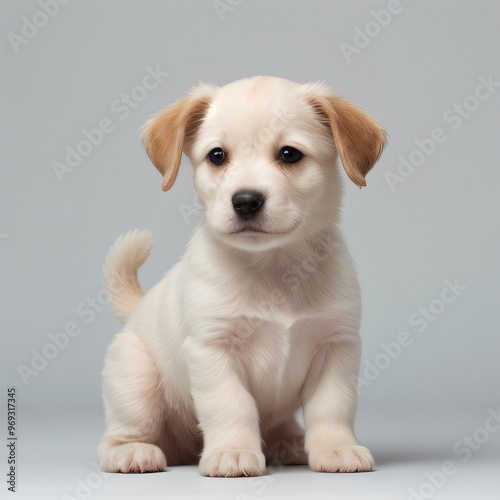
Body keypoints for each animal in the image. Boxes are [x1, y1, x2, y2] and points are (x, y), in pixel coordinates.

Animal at [97, 74, 386, 476]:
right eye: (217, 155)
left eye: (289, 154)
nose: (246, 201)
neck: (273, 268)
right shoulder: (213, 349)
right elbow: (231, 406)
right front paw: (233, 451)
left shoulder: (336, 346)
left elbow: (333, 406)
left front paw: (336, 448)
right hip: (137, 383)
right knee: (118, 436)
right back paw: (132, 452)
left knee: (280, 424)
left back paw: (289, 442)